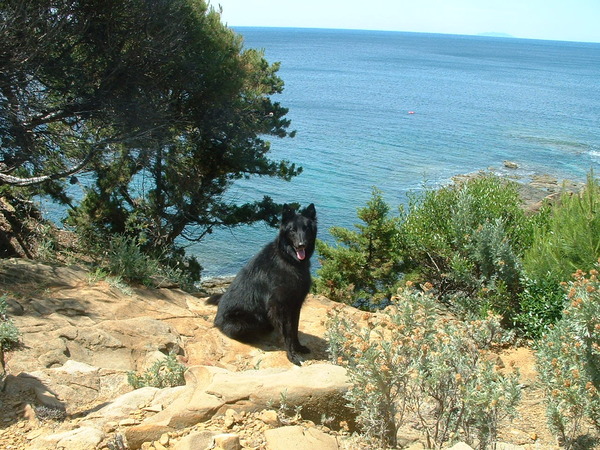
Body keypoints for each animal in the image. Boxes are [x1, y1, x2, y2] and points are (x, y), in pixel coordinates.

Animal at [207, 204, 316, 366]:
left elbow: (294, 330)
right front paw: (292, 355)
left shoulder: (295, 305)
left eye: (306, 229)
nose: (301, 245)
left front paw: (299, 348)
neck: (288, 259)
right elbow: (287, 333)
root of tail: (217, 319)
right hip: (246, 321)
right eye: (292, 230)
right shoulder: (279, 307)